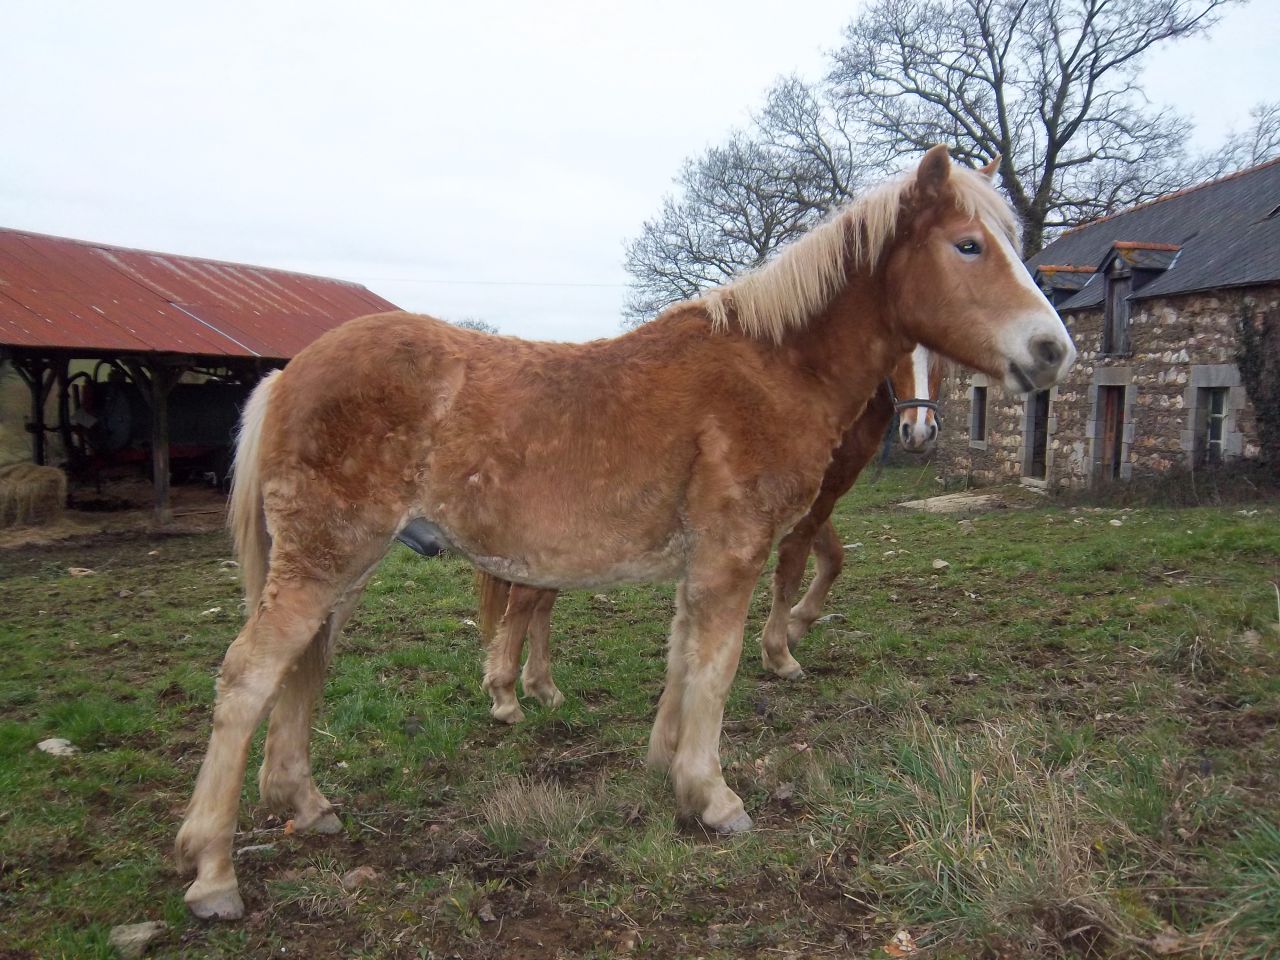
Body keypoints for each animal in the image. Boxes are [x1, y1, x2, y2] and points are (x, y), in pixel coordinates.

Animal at [473, 344, 944, 723]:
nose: (919, 430)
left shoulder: (813, 504)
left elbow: (832, 559)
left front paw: (796, 626)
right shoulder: (807, 508)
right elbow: (792, 571)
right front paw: (780, 652)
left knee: (541, 598)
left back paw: (542, 688)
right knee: (527, 599)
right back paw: (508, 695)